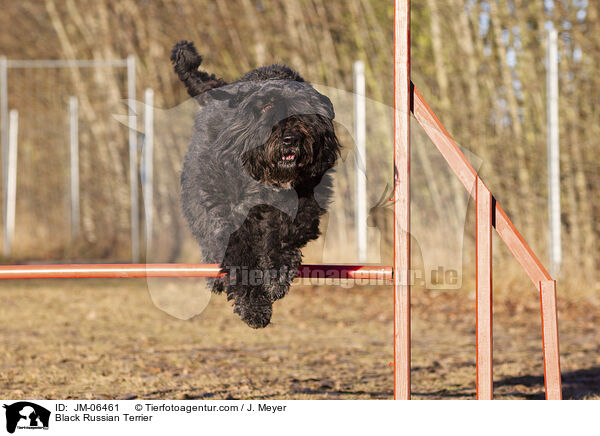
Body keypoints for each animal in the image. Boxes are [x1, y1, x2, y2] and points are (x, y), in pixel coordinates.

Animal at [171, 41, 340, 328]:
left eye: (301, 108)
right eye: (267, 108)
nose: (289, 138)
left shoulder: (303, 206)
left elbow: (284, 235)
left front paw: (276, 277)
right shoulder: (231, 219)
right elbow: (241, 259)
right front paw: (254, 306)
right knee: (209, 242)